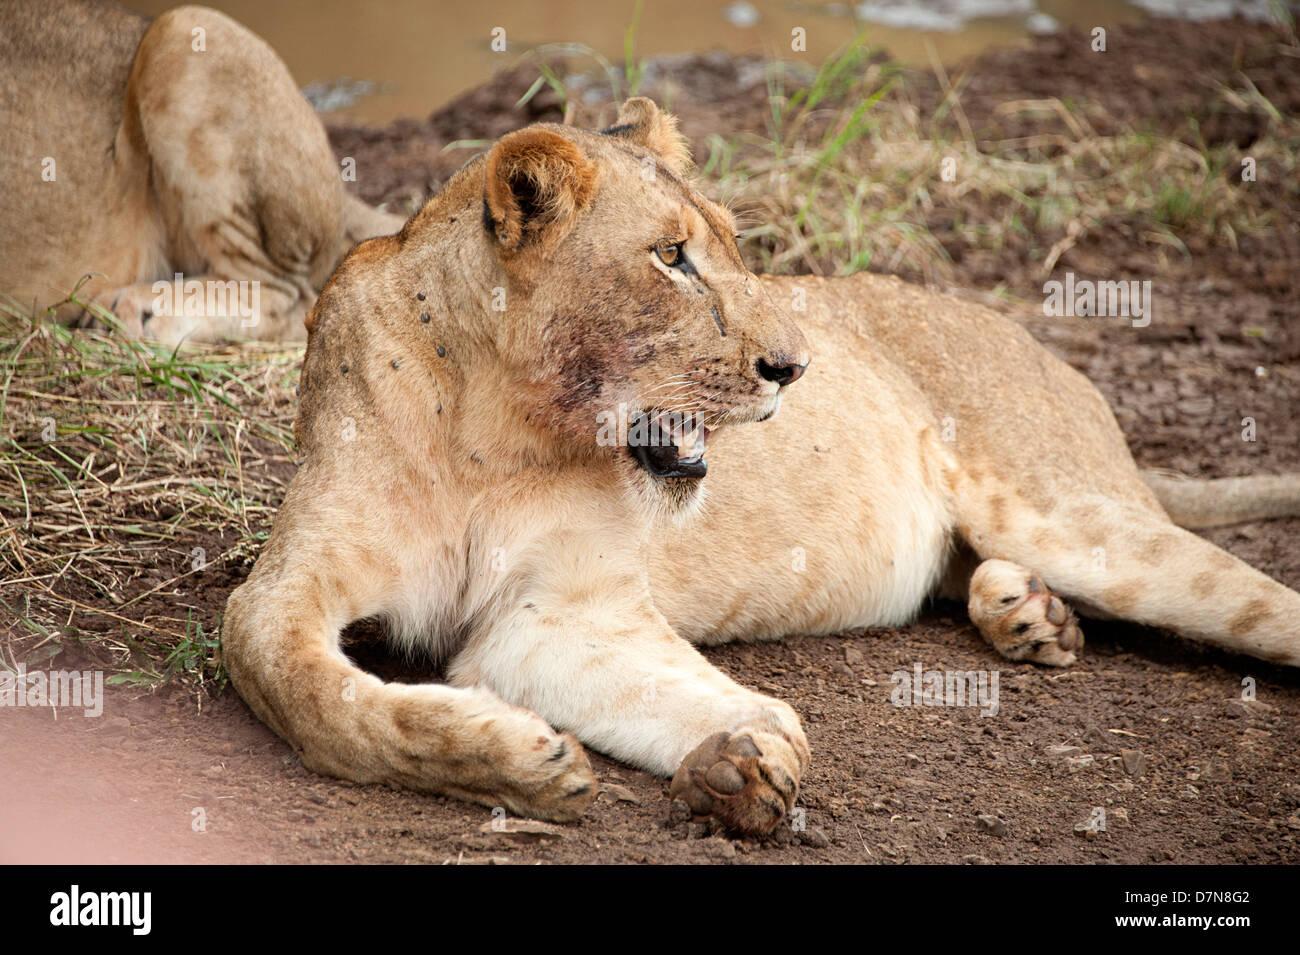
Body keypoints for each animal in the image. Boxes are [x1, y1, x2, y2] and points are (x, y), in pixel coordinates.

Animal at [223, 93, 1300, 831]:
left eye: (737, 249)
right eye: (669, 257)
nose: (793, 367)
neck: (494, 433)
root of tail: (1057, 360)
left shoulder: (569, 602)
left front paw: (747, 750)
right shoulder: (304, 589)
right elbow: (307, 691)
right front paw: (541, 761)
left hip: (1087, 524)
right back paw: (1029, 614)